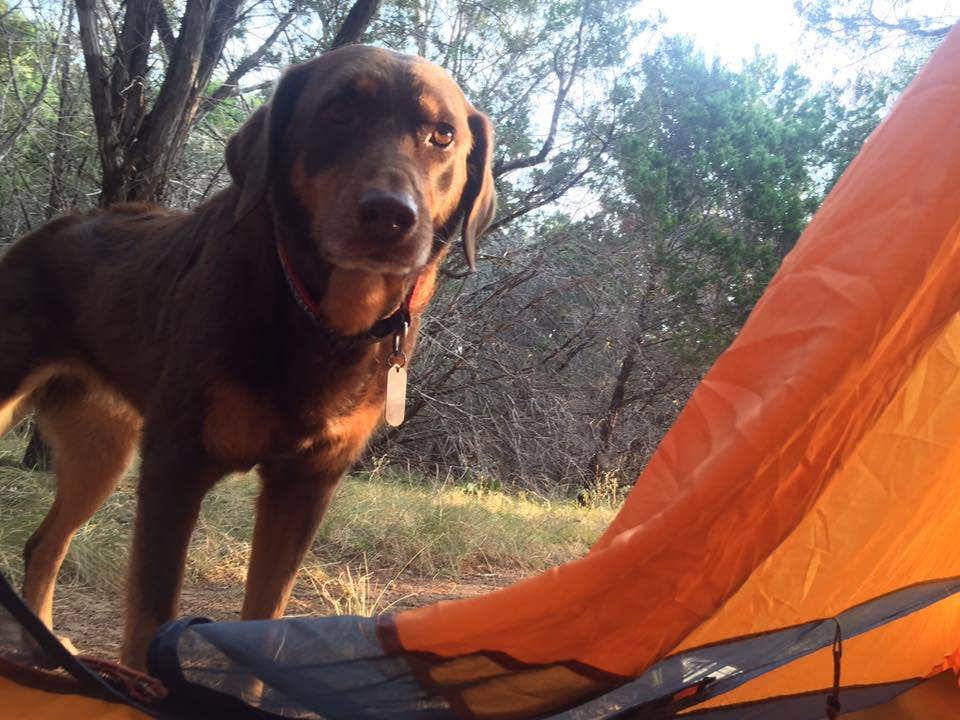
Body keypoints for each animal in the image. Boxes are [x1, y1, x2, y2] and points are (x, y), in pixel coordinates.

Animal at [0, 45, 496, 668]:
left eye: (443, 135)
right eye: (337, 111)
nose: (391, 215)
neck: (318, 320)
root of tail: (45, 232)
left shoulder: (305, 486)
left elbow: (267, 624)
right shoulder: (175, 467)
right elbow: (148, 626)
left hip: (102, 447)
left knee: (44, 543)